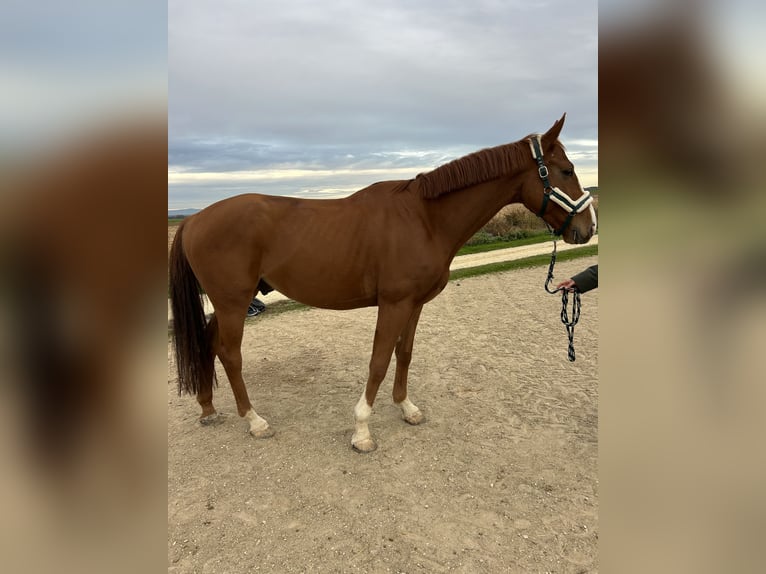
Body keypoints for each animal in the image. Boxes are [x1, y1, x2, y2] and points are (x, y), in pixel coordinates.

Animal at [169, 114, 597, 452]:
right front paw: (362, 430)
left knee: (209, 344)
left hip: (228, 304)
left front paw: (406, 408)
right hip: (233, 303)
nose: (587, 228)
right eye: (566, 171)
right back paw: (255, 421)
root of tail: (193, 219)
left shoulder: (415, 303)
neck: (424, 218)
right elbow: (378, 360)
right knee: (230, 355)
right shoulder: (393, 303)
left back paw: (208, 409)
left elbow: (403, 354)